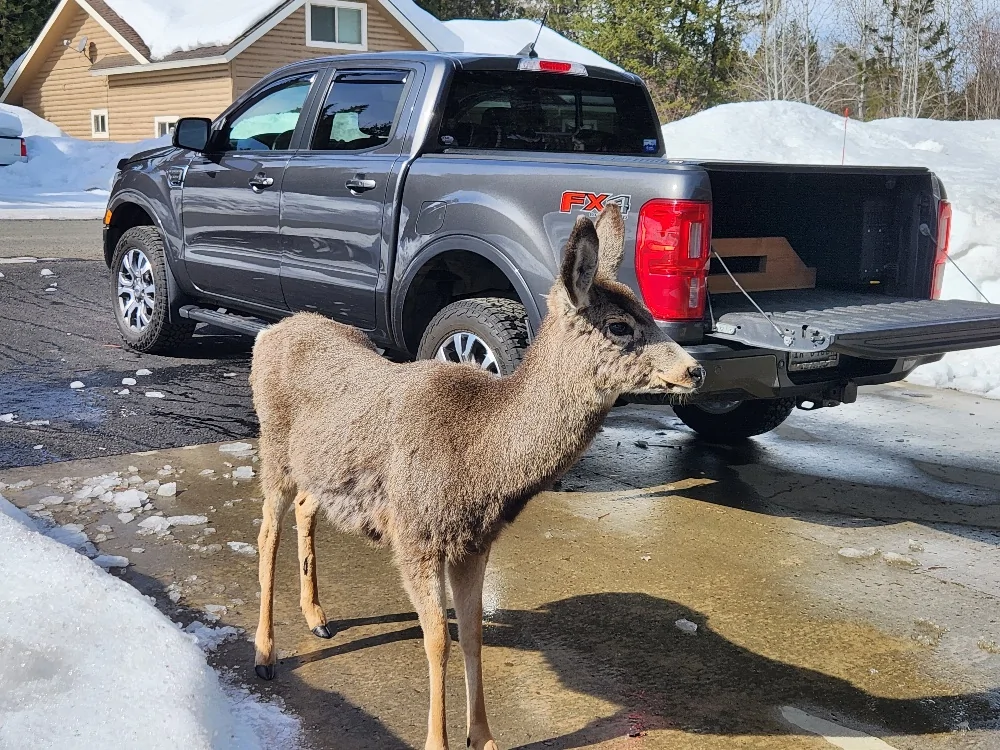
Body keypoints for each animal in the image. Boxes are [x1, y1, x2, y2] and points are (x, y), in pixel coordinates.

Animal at [249, 203, 705, 750]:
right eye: (619, 325)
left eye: (650, 313)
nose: (695, 370)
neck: (479, 457)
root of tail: (268, 334)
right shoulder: (416, 534)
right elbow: (437, 641)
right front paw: (438, 741)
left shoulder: (474, 542)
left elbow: (472, 633)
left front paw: (484, 737)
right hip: (274, 448)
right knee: (266, 534)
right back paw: (265, 653)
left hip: (321, 468)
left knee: (304, 508)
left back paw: (318, 618)